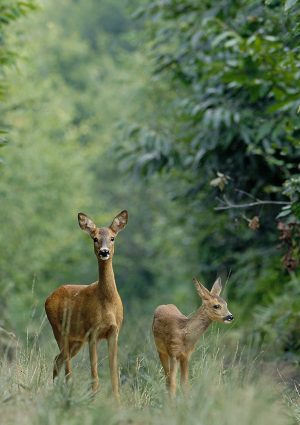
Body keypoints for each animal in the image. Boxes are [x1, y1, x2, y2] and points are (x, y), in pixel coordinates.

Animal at [44, 210, 127, 400]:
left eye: (112, 238)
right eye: (95, 238)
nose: (104, 252)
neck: (107, 303)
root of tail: (49, 297)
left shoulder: (114, 331)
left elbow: (114, 375)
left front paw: (118, 402)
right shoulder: (92, 332)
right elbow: (94, 374)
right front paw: (93, 398)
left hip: (76, 340)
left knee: (57, 359)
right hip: (60, 330)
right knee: (66, 366)